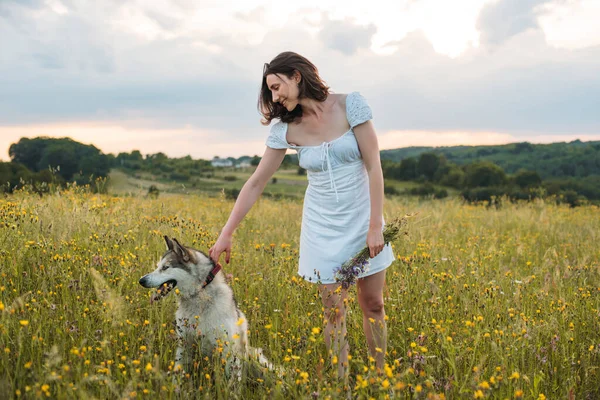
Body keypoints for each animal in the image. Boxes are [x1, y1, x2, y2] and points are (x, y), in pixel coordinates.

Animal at [138, 236, 270, 374]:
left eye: (165, 267)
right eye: (158, 266)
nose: (141, 280)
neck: (199, 292)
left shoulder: (228, 350)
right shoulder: (184, 344)